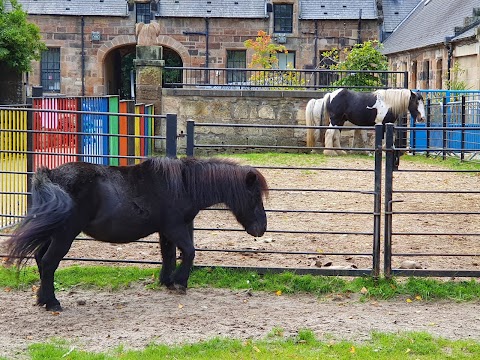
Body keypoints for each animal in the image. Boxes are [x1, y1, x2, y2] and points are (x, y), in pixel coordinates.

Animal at [5, 158, 268, 312]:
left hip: (53, 232)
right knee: (49, 262)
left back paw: (42, 298)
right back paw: (52, 302)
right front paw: (180, 282)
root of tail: (51, 174)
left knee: (40, 260)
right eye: (254, 196)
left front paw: (167, 281)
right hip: (64, 235)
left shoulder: (165, 231)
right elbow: (189, 252)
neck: (182, 185)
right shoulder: (175, 228)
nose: (261, 229)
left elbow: (168, 255)